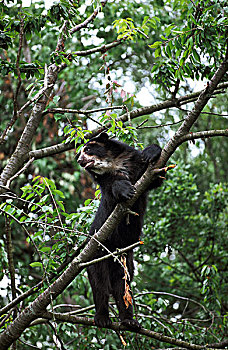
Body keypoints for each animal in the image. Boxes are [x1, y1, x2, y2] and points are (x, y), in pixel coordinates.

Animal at [78, 133, 162, 330]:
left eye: (88, 149)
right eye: (80, 152)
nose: (79, 160)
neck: (113, 164)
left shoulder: (135, 165)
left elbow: (156, 176)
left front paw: (151, 152)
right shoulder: (107, 182)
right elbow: (113, 187)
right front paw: (125, 190)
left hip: (125, 261)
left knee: (123, 287)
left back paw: (130, 321)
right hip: (97, 255)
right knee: (100, 285)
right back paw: (102, 318)